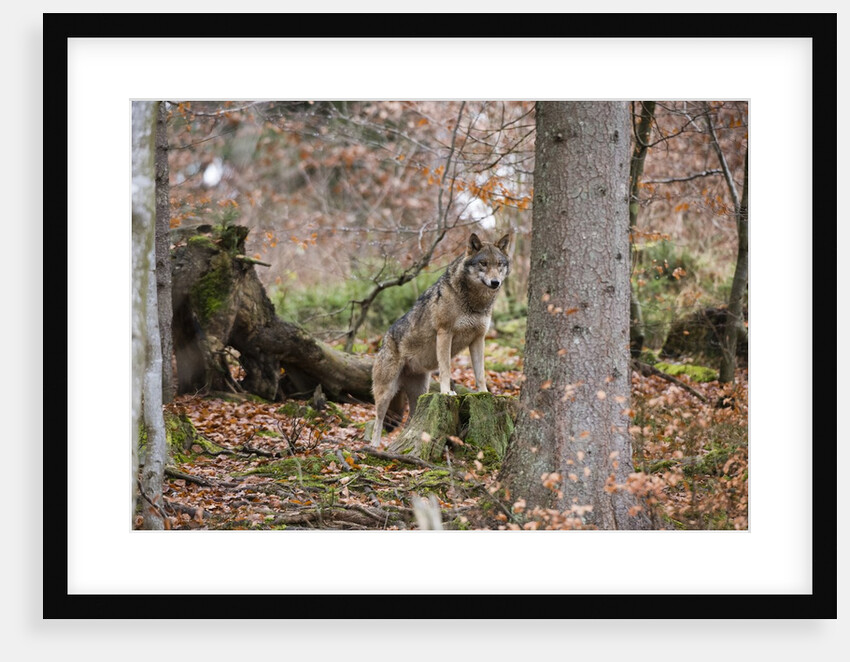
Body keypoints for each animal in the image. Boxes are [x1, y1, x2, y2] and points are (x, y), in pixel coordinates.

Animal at [370, 232, 511, 447]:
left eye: (499, 264)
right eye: (483, 264)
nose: (495, 282)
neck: (475, 302)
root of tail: (383, 340)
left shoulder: (478, 339)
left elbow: (480, 373)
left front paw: (485, 393)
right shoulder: (445, 333)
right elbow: (446, 368)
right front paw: (447, 392)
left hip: (420, 392)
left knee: (410, 421)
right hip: (387, 392)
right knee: (377, 420)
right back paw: (374, 446)